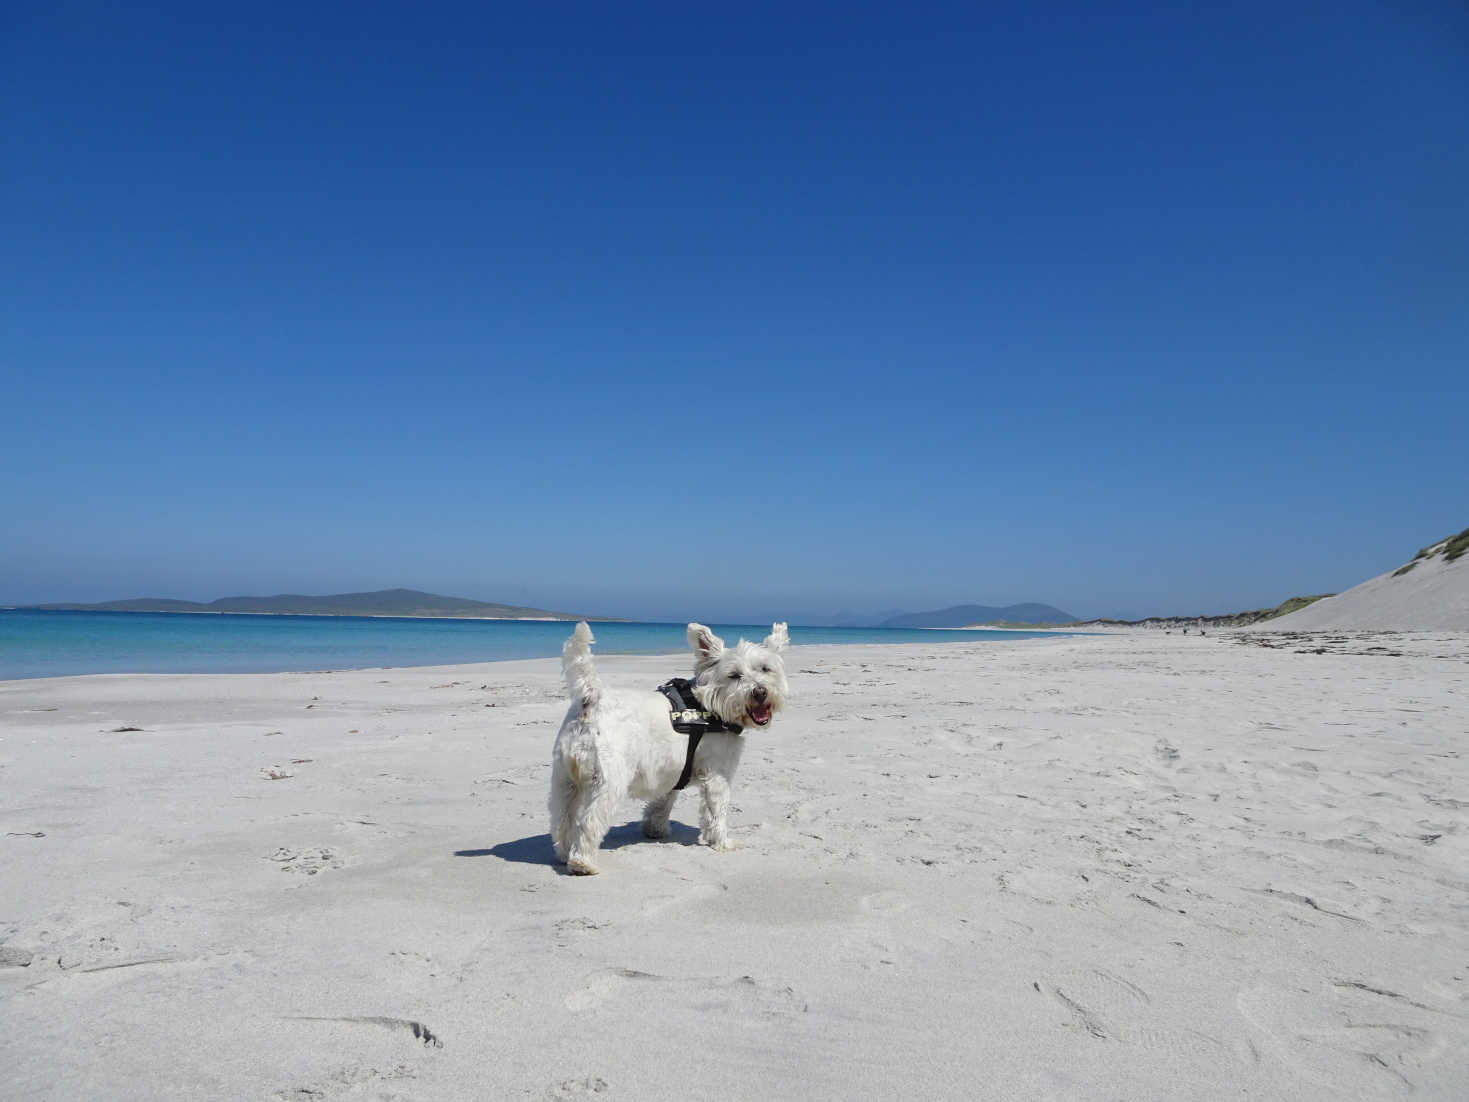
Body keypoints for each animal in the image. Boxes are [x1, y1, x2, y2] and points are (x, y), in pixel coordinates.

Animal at [552, 625, 787, 875]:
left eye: (765, 668)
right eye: (734, 675)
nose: (760, 692)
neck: (708, 707)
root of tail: (590, 699)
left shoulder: (673, 770)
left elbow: (664, 801)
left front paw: (655, 829)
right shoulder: (717, 775)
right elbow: (717, 811)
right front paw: (723, 842)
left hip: (564, 782)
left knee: (562, 820)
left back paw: (564, 854)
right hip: (607, 784)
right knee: (588, 822)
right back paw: (582, 863)